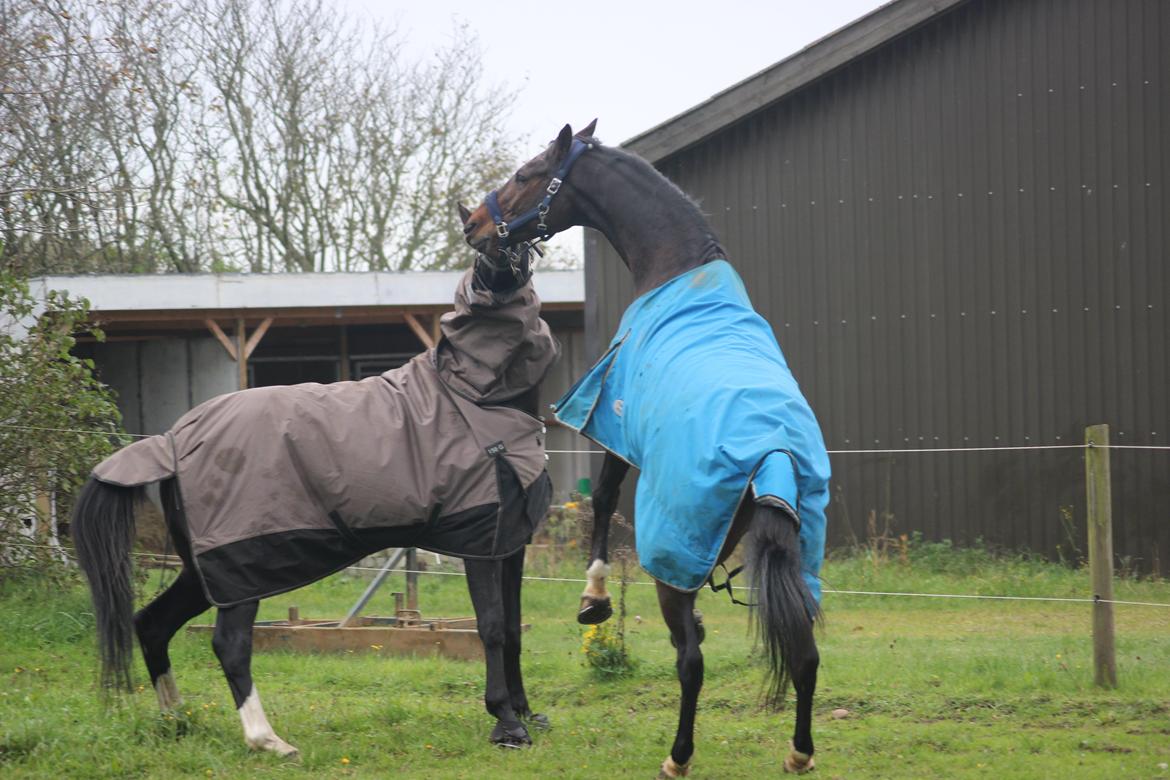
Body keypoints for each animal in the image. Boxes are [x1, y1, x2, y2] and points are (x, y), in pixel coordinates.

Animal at [465, 120, 833, 776]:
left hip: (675, 560)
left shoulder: (613, 427)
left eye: (528, 174)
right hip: (790, 559)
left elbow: (603, 502)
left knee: (690, 660)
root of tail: (774, 455)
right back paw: (799, 752)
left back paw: (678, 757)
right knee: (805, 653)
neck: (677, 270)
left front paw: (593, 599)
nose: (474, 226)